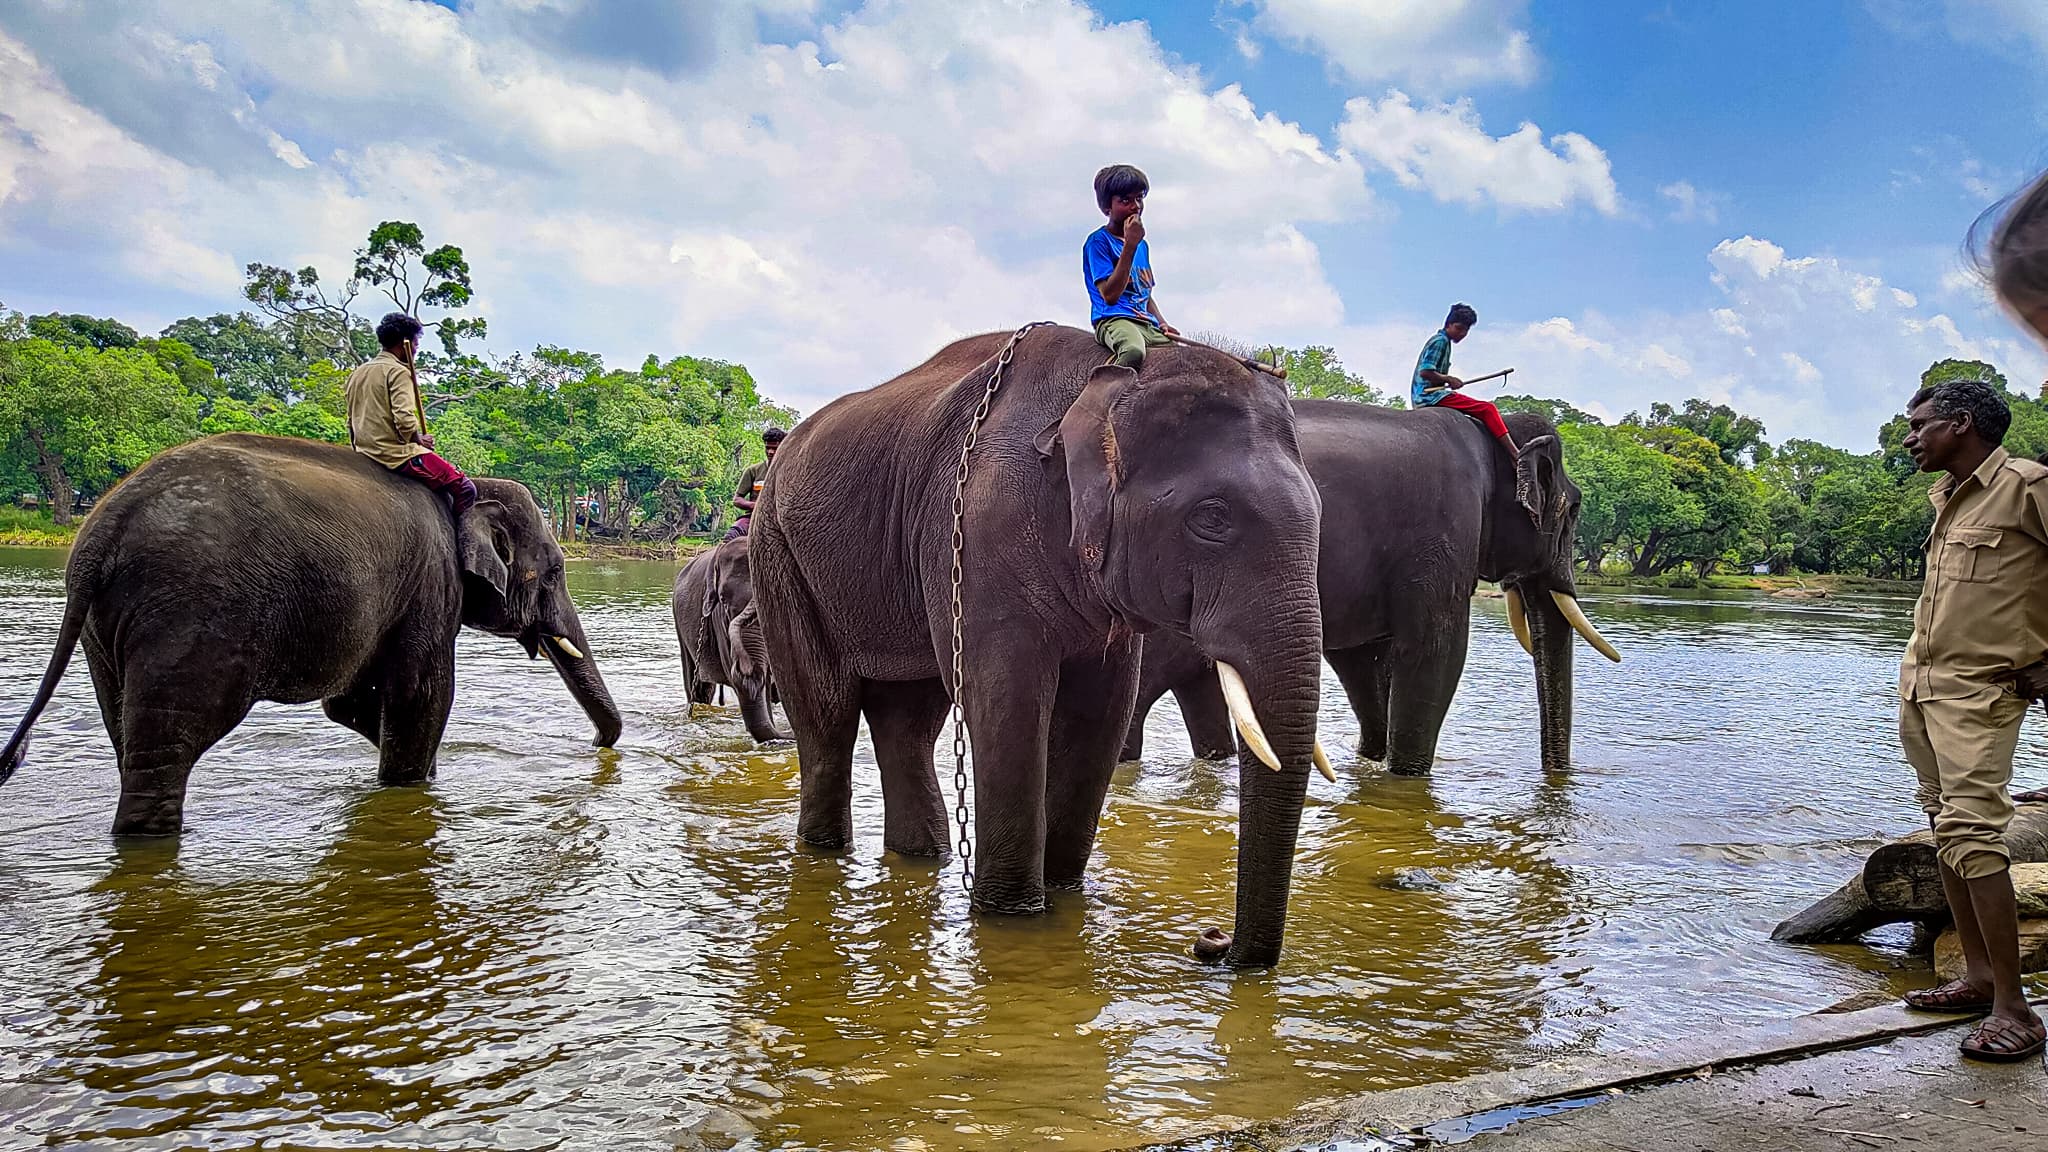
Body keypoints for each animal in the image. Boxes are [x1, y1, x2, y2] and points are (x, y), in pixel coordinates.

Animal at [0, 428, 622, 824]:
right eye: (555, 571)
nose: (596, 746)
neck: (467, 493)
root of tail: (100, 531)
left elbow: (352, 704)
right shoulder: (431, 582)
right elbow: (423, 697)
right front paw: (413, 785)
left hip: (106, 631)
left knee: (126, 734)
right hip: (190, 618)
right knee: (169, 744)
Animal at [749, 325, 1327, 967]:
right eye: (1212, 518)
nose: (1212, 941)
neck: (1103, 382)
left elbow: (1100, 711)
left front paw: (1064, 893)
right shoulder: (979, 526)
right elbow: (1008, 699)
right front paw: (1013, 915)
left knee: (908, 721)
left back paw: (923, 856)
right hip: (778, 554)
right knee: (826, 716)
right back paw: (824, 851)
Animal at [1122, 401, 1613, 770]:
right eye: (1574, 509)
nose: (1558, 775)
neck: (1491, 433)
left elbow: (1362, 661)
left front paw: (1374, 763)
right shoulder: (1444, 532)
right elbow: (1436, 655)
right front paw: (1404, 778)